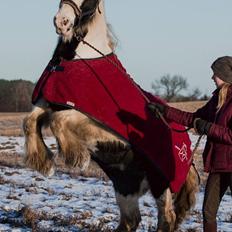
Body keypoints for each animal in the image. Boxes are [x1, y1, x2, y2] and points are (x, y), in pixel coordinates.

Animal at [22, 0, 198, 231]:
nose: (62, 22)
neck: (81, 56)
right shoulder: (48, 102)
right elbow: (29, 121)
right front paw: (43, 163)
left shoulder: (97, 122)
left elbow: (58, 121)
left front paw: (76, 157)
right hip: (125, 185)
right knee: (131, 220)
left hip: (160, 182)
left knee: (167, 217)